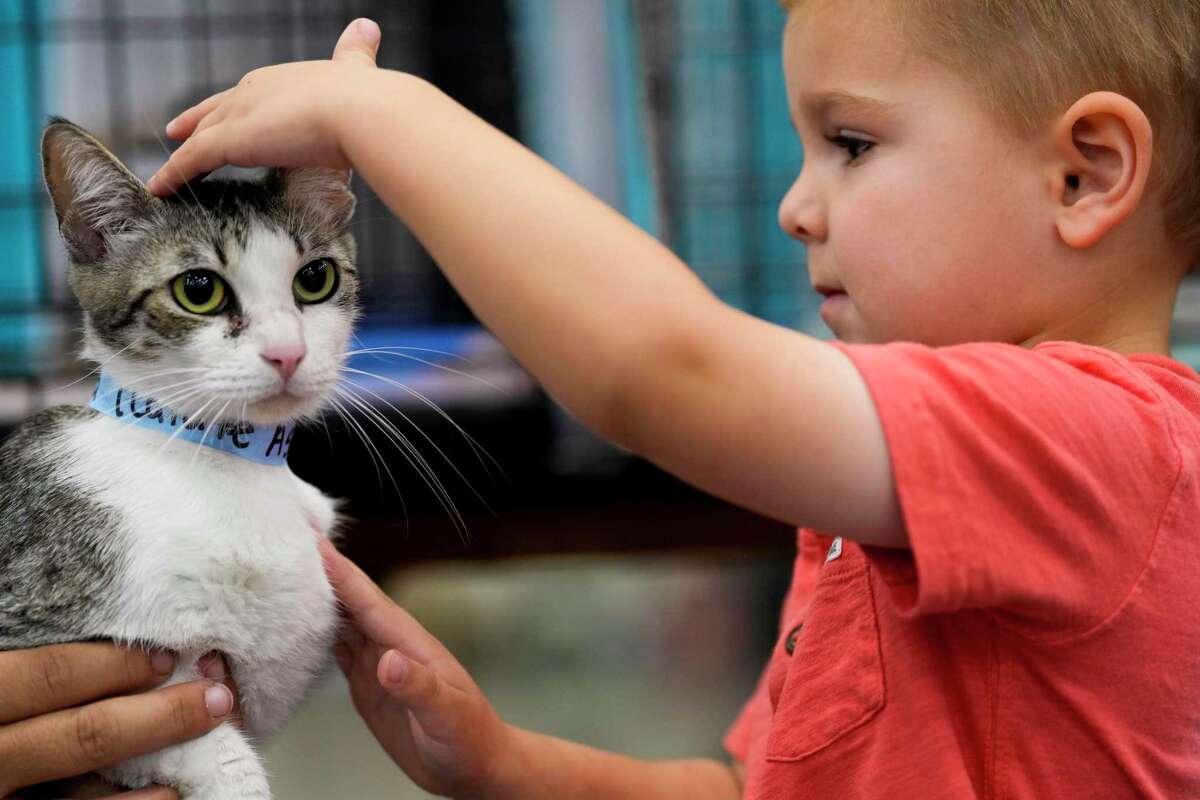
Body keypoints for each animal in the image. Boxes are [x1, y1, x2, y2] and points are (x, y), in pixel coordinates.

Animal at [0, 118, 360, 800]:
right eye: (199, 290)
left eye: (316, 278)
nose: (288, 353)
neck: (221, 462)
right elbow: (202, 749)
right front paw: (232, 774)